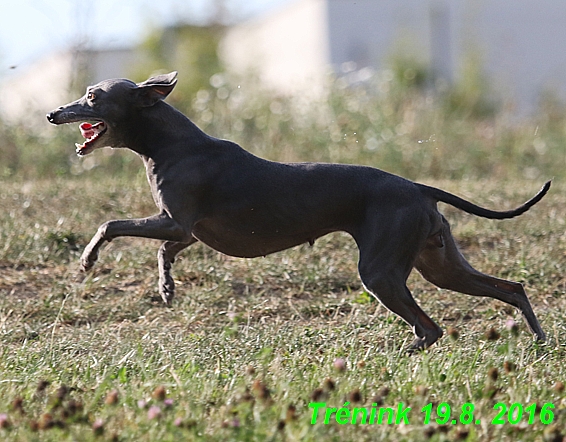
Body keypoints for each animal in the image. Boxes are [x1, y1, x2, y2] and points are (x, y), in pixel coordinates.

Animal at [46, 71, 552, 348]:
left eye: (93, 97)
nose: (53, 113)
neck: (170, 142)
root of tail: (417, 187)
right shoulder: (184, 231)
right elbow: (163, 251)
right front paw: (167, 287)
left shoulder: (176, 222)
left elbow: (110, 223)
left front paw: (87, 260)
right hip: (439, 262)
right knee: (511, 287)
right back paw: (541, 340)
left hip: (381, 271)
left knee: (430, 329)